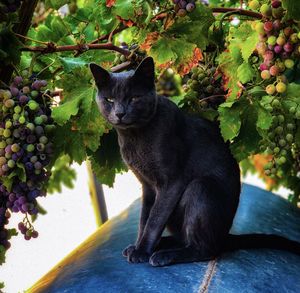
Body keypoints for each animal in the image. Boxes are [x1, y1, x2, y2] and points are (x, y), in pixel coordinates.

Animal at [90, 57, 300, 266]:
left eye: (134, 98)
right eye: (109, 100)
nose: (120, 113)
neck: (134, 137)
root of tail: (225, 236)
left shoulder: (171, 182)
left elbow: (154, 219)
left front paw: (141, 251)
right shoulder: (147, 186)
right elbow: (144, 219)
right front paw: (137, 246)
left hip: (201, 187)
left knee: (205, 249)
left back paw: (164, 255)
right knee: (185, 238)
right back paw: (161, 245)